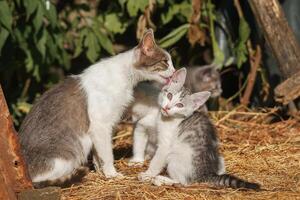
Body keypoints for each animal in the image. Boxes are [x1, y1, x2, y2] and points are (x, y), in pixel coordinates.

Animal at [18, 29, 176, 188]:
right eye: (165, 62)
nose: (175, 71)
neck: (126, 77)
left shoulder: (99, 129)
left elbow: (98, 154)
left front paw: (101, 172)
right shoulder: (101, 125)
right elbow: (107, 154)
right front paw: (112, 174)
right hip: (67, 157)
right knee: (43, 180)